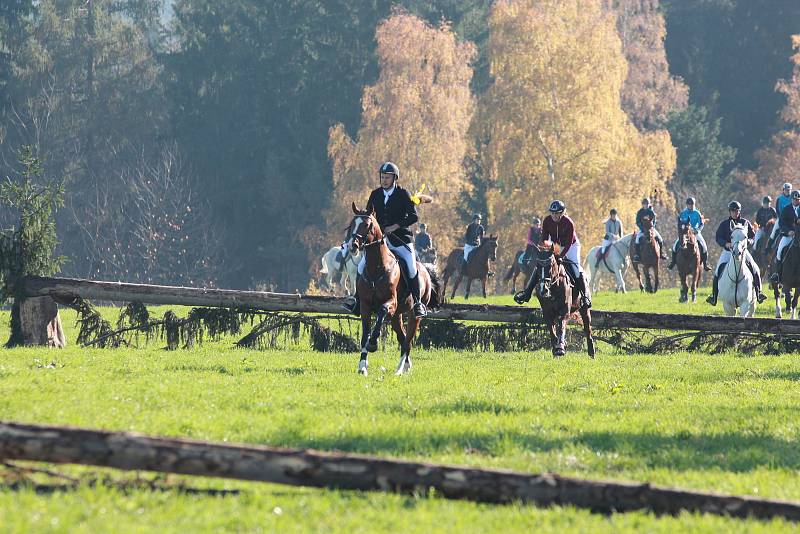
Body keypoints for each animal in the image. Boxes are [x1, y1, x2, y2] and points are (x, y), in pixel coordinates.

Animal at [348, 203, 444, 378]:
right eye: (352, 224)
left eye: (367, 225)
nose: (353, 245)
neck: (376, 268)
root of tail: (426, 270)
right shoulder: (365, 306)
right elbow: (365, 334)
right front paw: (362, 366)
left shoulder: (390, 303)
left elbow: (381, 313)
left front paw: (373, 344)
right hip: (396, 316)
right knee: (402, 337)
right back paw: (406, 365)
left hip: (413, 314)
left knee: (408, 341)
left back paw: (399, 370)